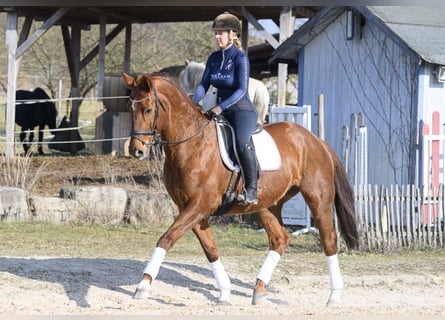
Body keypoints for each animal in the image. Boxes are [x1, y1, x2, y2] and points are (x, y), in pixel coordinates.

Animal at [121, 72, 358, 304]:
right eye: (130, 109)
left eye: (148, 109)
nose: (136, 150)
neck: (192, 143)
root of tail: (316, 140)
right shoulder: (190, 209)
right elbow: (210, 249)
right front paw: (225, 292)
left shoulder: (198, 206)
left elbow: (166, 239)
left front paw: (143, 285)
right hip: (268, 205)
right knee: (280, 239)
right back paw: (259, 289)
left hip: (318, 199)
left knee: (328, 239)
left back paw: (334, 296)